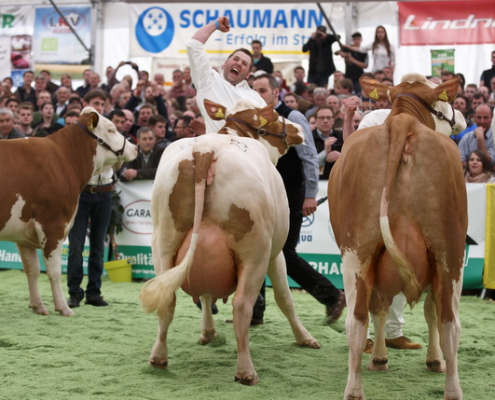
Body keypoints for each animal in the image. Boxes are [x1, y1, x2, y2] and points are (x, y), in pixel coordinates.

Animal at [0, 108, 138, 318]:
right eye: (111, 129)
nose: (135, 148)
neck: (65, 159)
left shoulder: (23, 232)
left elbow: (32, 270)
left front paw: (38, 306)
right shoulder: (53, 225)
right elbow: (54, 271)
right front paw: (63, 307)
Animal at [140, 97, 322, 384]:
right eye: (273, 116)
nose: (300, 129)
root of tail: (205, 150)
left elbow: (205, 292)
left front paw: (207, 333)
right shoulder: (276, 252)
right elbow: (285, 297)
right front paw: (305, 338)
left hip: (163, 242)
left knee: (166, 299)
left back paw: (158, 357)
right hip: (255, 251)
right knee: (241, 305)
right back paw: (246, 371)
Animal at [330, 76, 468, 400]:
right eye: (444, 103)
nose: (461, 118)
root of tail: (402, 122)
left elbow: (384, 306)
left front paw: (382, 357)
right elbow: (427, 311)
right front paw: (432, 360)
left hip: (362, 253)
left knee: (360, 319)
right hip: (449, 251)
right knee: (447, 322)